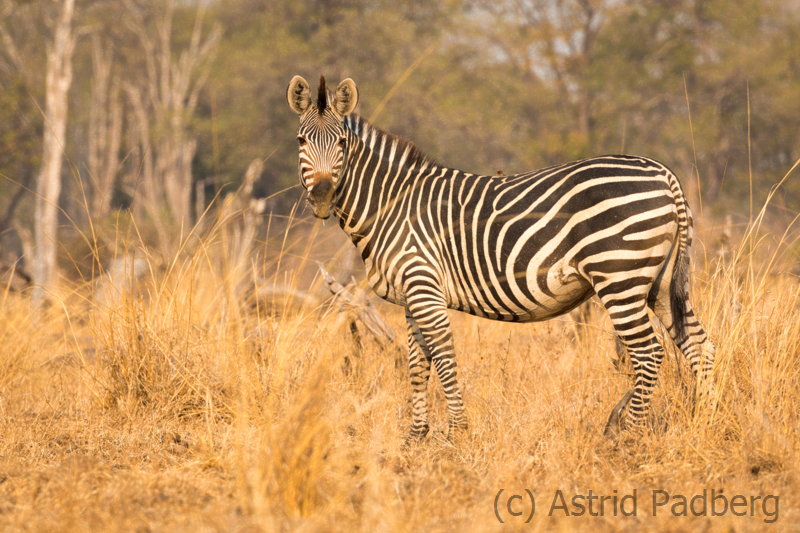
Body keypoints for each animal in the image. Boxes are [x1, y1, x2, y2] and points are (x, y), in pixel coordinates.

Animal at [284, 75, 716, 440]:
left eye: (342, 145)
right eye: (301, 142)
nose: (321, 198)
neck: (391, 204)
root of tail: (663, 173)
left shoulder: (424, 287)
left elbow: (443, 358)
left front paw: (457, 433)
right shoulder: (411, 297)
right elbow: (417, 365)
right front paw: (415, 438)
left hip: (620, 275)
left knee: (649, 353)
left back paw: (630, 435)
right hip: (657, 282)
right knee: (698, 345)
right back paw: (704, 421)